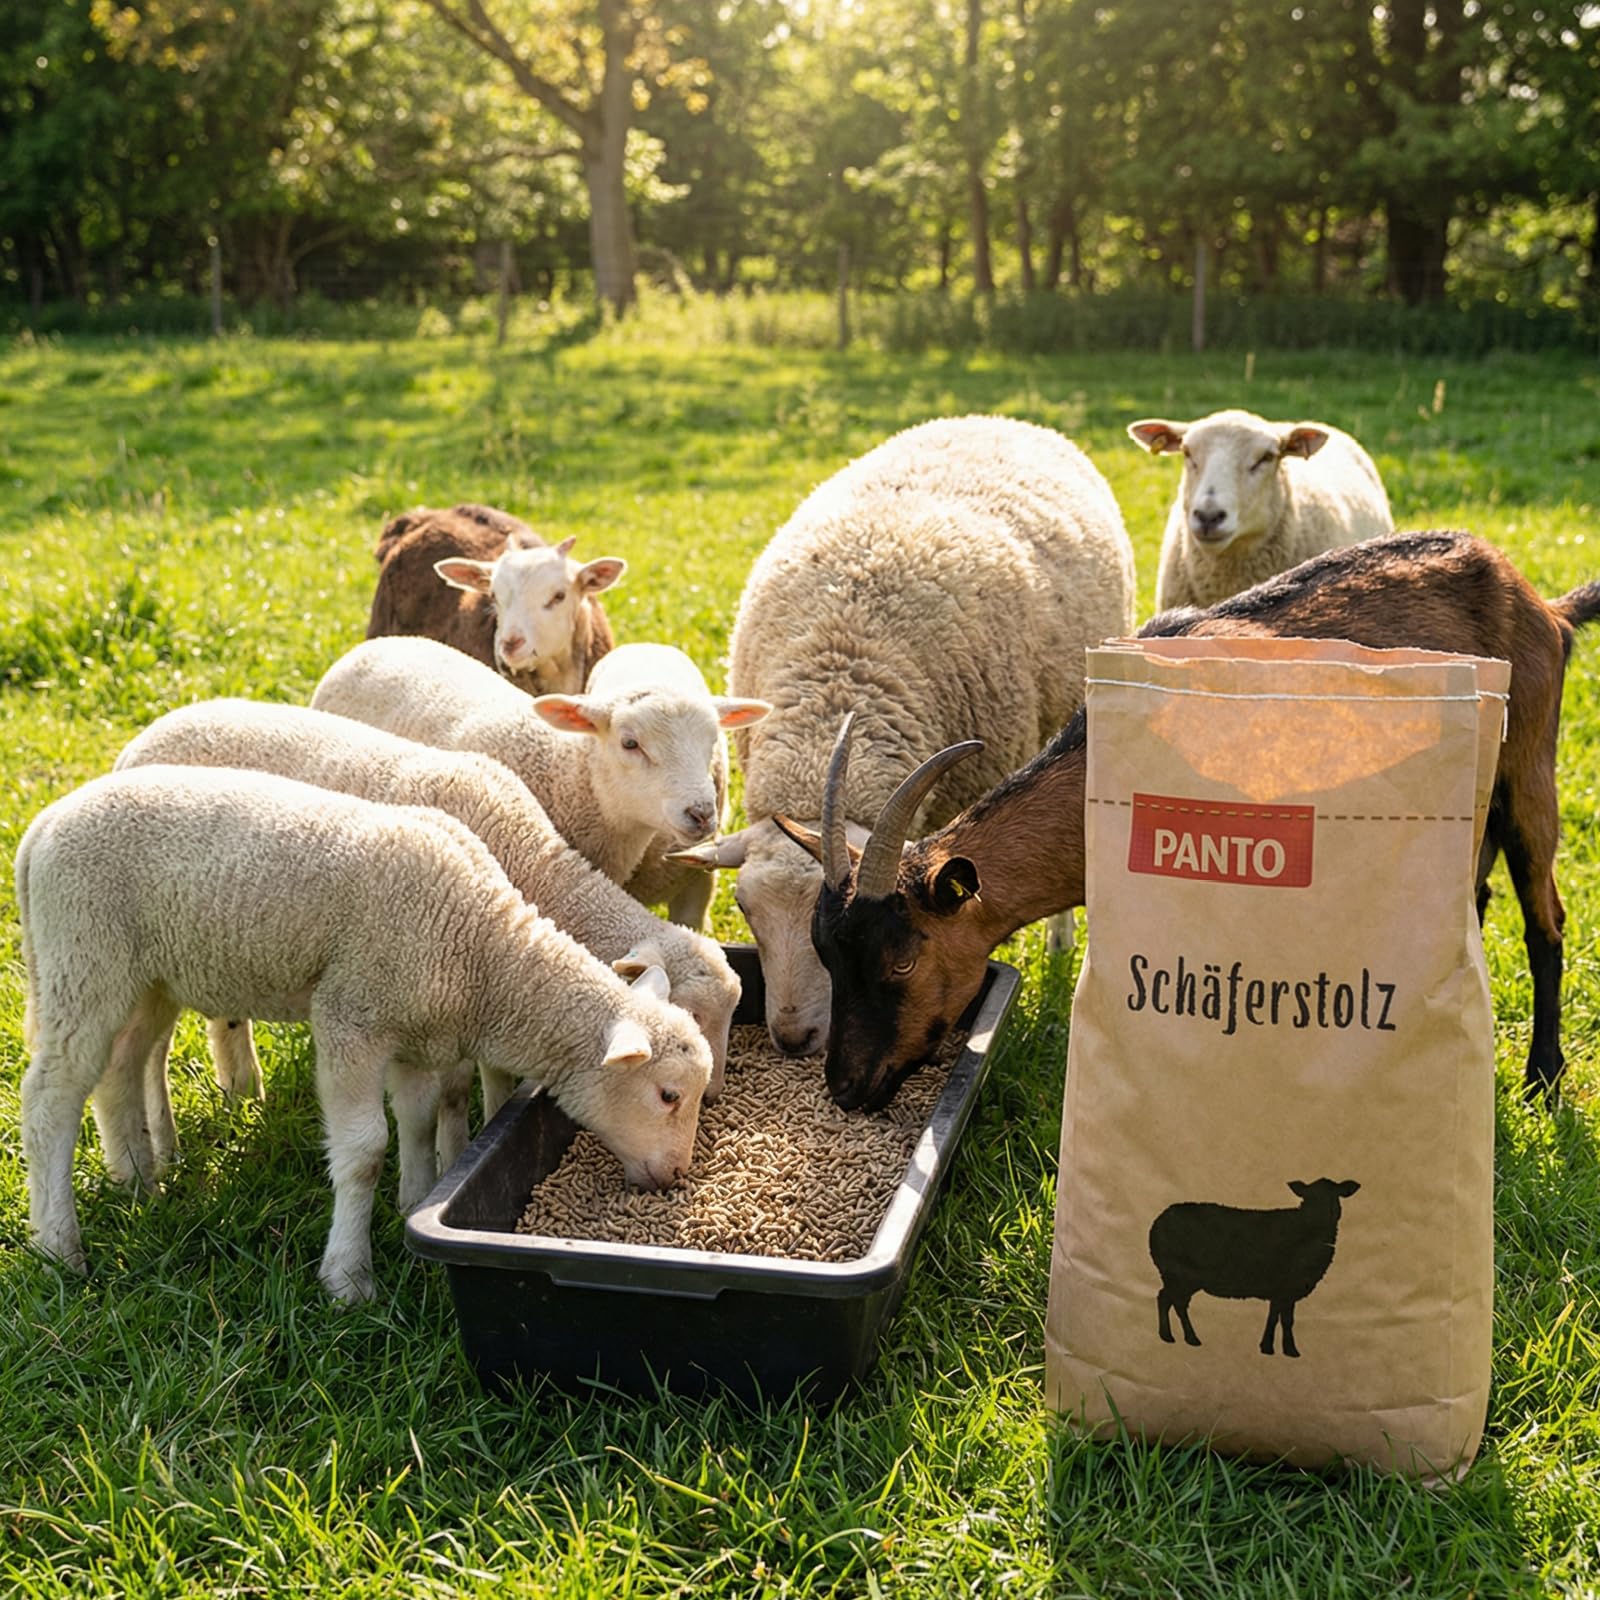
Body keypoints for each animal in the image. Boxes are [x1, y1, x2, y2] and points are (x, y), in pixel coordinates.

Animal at [16, 764, 713, 1302]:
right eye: (668, 1095)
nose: (677, 1176)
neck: (482, 950)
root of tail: (41, 828)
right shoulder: (352, 1016)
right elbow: (363, 1151)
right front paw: (349, 1278)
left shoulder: (416, 1033)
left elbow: (419, 1121)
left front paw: (413, 1203)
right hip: (83, 955)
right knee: (51, 1098)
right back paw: (60, 1247)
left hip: (146, 975)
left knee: (120, 1069)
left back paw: (139, 1184)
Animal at [112, 699, 745, 1126]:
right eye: (690, 1012)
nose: (715, 1095)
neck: (529, 860)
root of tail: (146, 735)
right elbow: (461, 1084)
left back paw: (242, 1089)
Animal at [794, 532, 1600, 1111]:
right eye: (827, 957)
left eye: (903, 961)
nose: (845, 1089)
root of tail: (1546, 606)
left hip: (1529, 767)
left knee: (1546, 915)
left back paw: (1543, 1078)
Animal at [1149, 1179, 1361, 1357]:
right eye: (1308, 1198)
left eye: (1335, 1196)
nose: (1321, 1217)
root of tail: (1157, 1222)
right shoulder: (1283, 1286)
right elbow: (1282, 1319)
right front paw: (1284, 1349)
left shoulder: (1283, 1290)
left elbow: (1278, 1317)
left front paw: (1274, 1348)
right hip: (1178, 1273)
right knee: (1171, 1300)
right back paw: (1184, 1337)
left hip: (1179, 1277)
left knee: (1169, 1299)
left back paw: (1173, 1337)